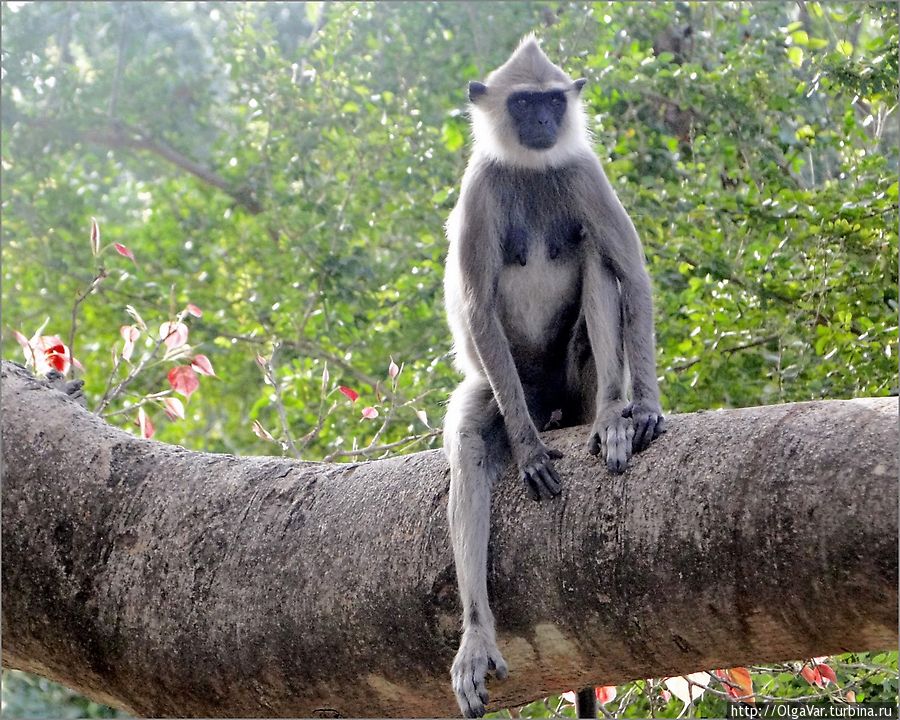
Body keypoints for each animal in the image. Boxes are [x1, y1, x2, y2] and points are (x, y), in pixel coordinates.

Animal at [444, 36, 668, 716]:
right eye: (523, 103)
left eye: (552, 101)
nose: (543, 121)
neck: (530, 168)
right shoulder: (482, 186)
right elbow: (477, 310)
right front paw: (526, 450)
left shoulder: (584, 171)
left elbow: (632, 274)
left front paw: (647, 409)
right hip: (515, 386)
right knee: (471, 442)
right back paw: (476, 635)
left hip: (581, 381)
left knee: (596, 253)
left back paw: (612, 418)